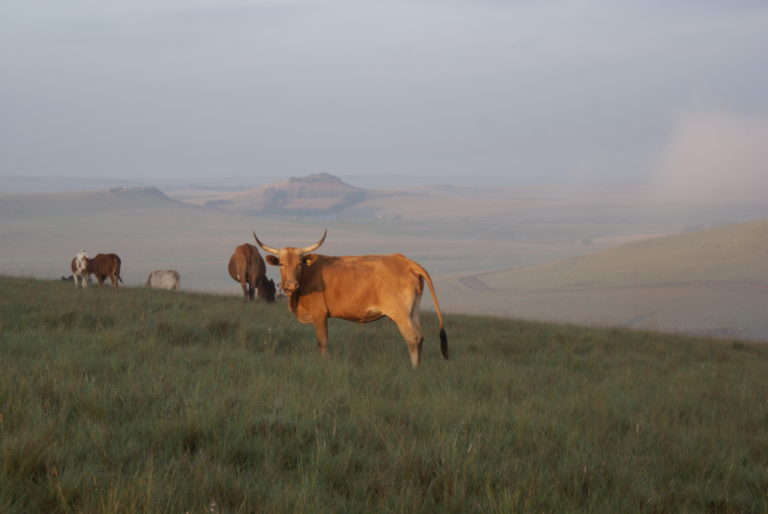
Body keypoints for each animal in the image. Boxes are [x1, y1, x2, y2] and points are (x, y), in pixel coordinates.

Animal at [255, 230, 448, 366]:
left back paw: (413, 369)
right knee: (420, 337)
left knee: (412, 339)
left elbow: (322, 341)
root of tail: (406, 261)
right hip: (413, 311)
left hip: (401, 314)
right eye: (281, 264)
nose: (291, 285)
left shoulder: (319, 315)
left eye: (300, 263)